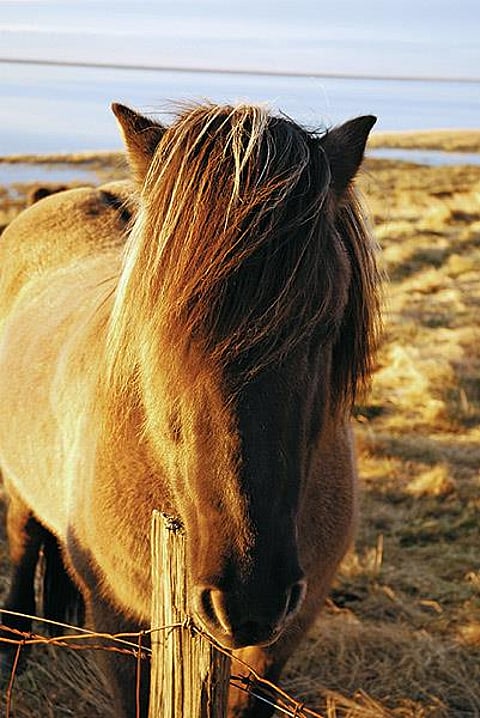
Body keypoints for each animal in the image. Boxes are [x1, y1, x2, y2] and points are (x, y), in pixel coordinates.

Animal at [0, 102, 381, 717]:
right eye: (156, 325)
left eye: (324, 327)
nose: (250, 598)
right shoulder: (125, 630)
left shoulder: (281, 639)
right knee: (24, 539)